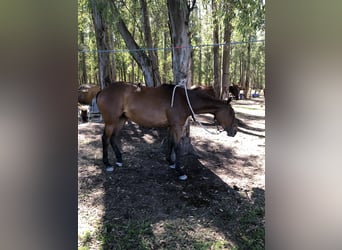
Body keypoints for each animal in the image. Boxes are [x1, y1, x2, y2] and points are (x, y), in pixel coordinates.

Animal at [96, 83, 238, 181]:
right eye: (231, 113)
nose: (235, 131)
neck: (184, 100)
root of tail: (103, 91)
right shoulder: (177, 127)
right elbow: (177, 147)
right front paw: (180, 171)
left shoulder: (171, 127)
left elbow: (170, 143)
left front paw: (170, 162)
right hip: (111, 122)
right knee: (105, 139)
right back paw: (107, 164)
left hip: (121, 120)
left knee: (113, 138)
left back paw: (119, 159)